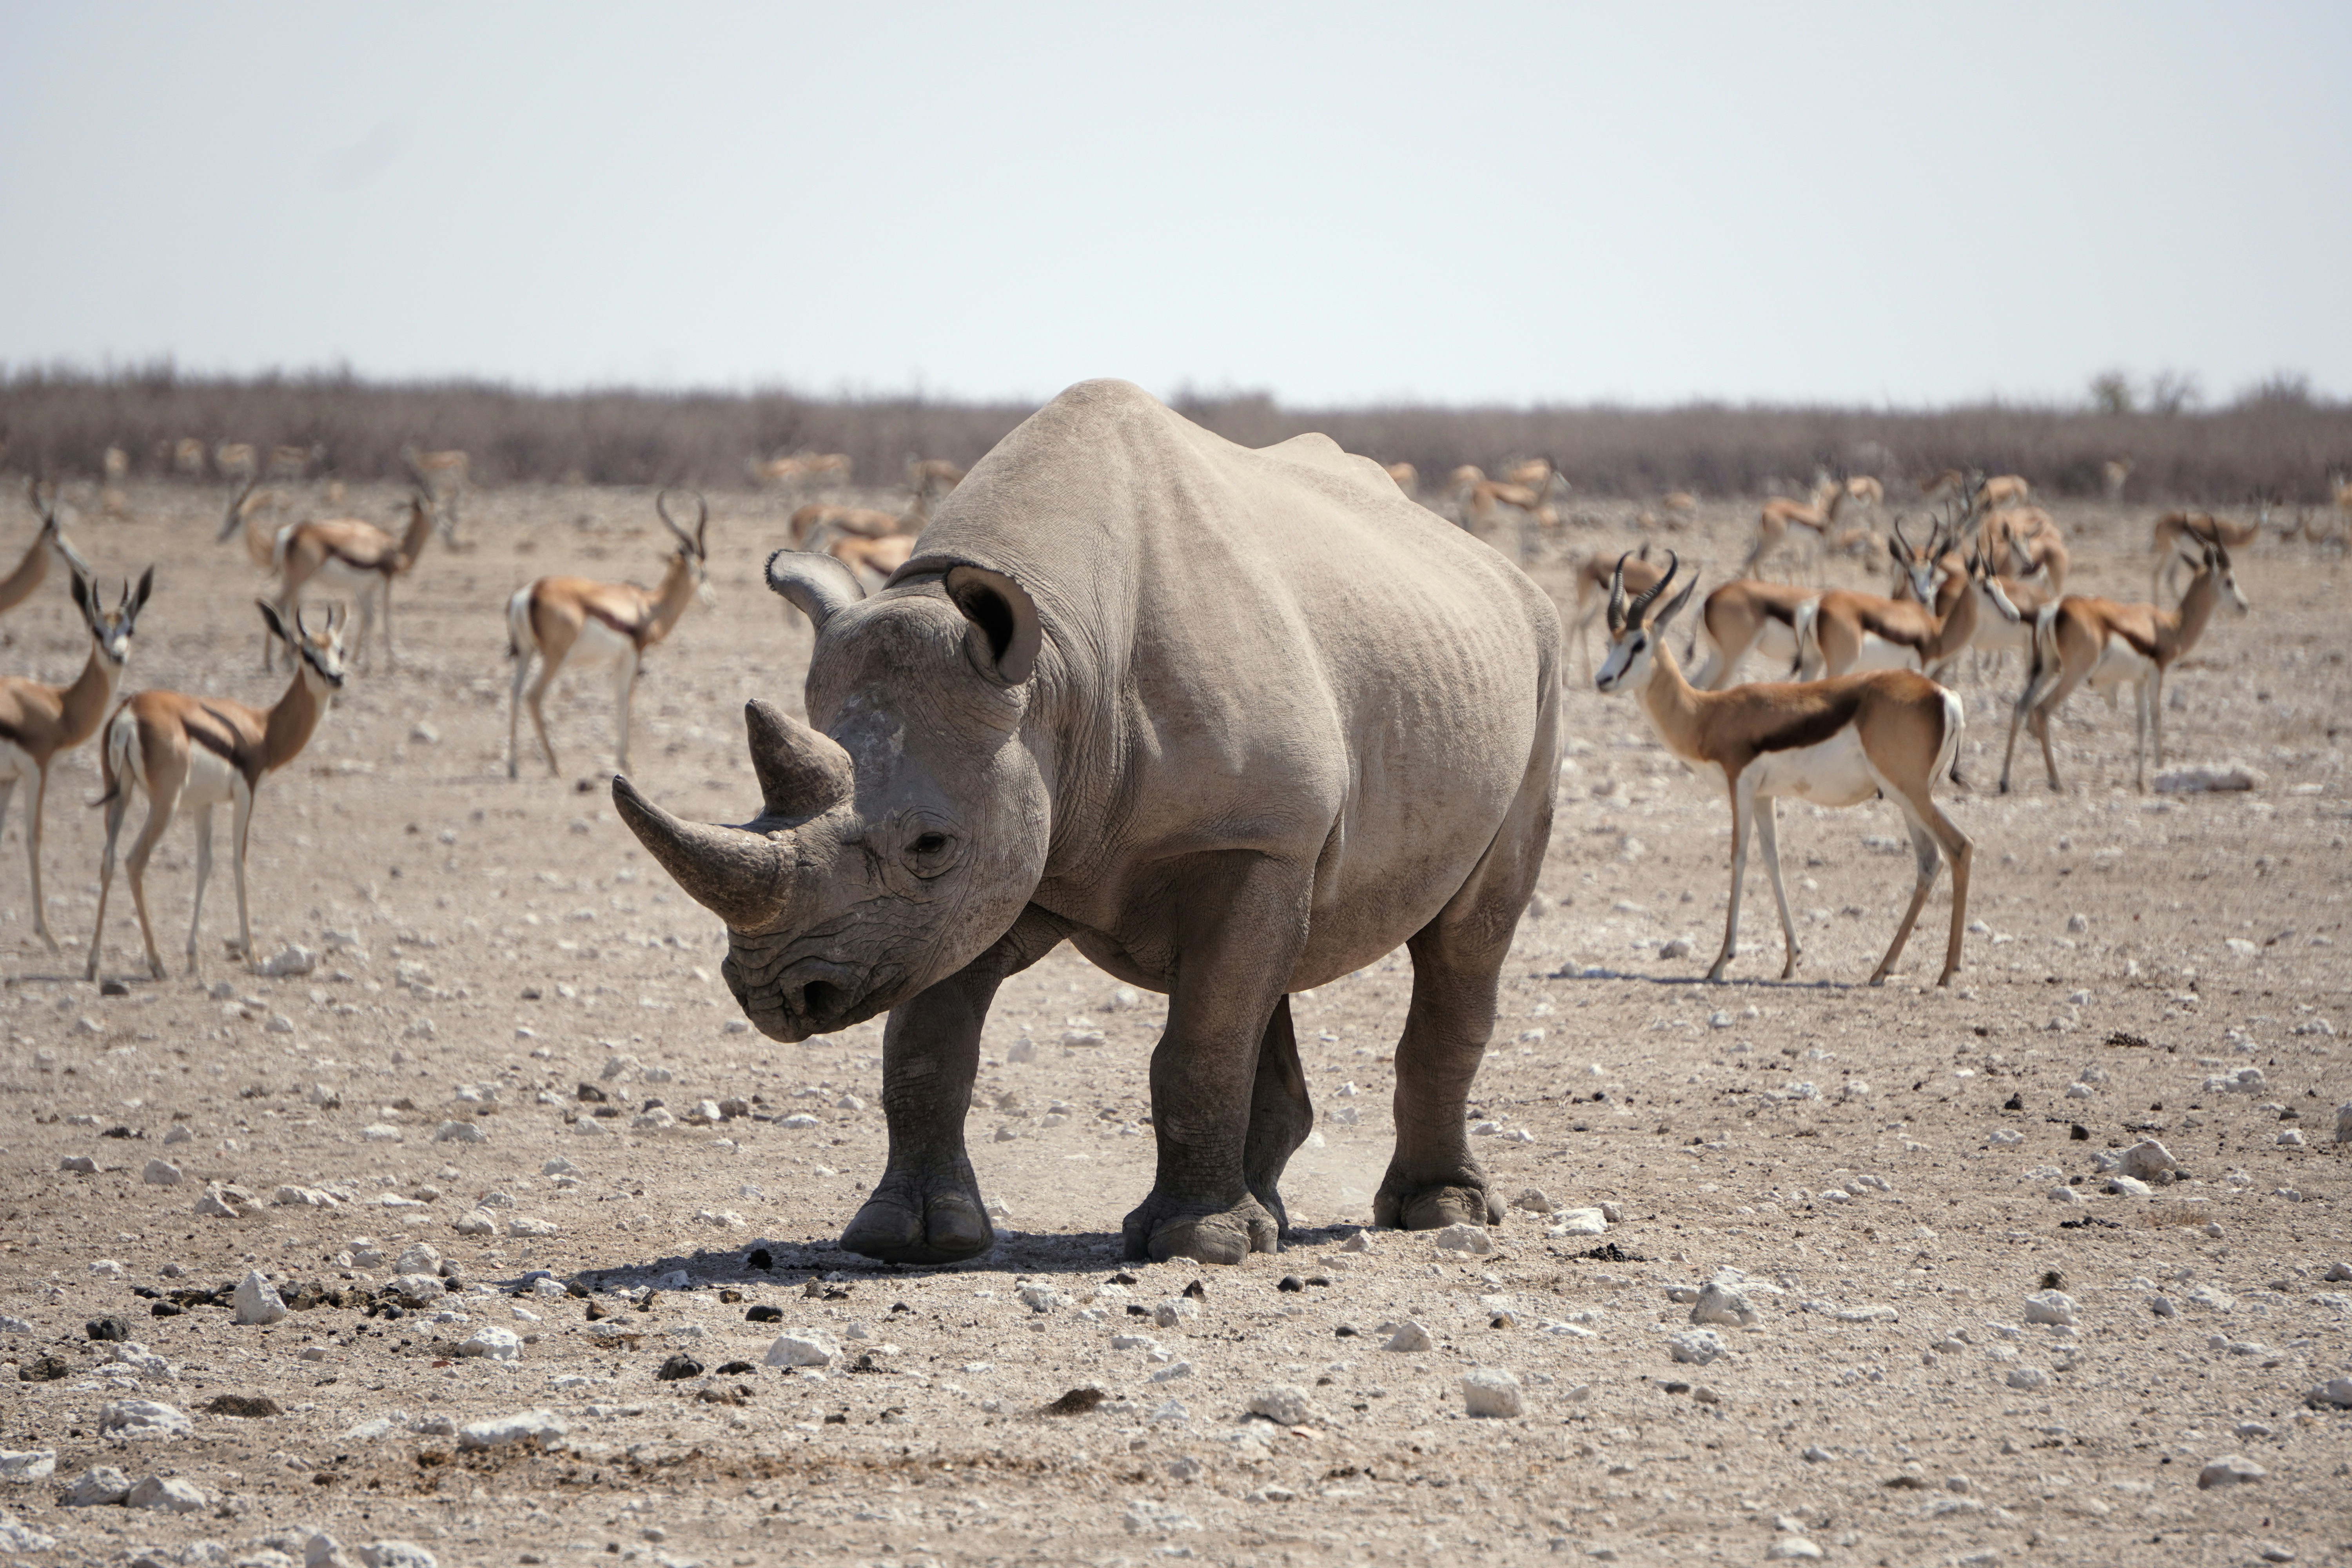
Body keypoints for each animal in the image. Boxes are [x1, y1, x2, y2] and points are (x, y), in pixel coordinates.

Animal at [614, 380, 1560, 1266]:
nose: (773, 991)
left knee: (1464, 939)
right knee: (1274, 964)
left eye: (929, 844)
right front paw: (909, 1238)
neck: (1059, 667)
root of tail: (1493, 566)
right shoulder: (983, 873)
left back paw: (1435, 1213)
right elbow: (926, 1041)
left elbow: (1200, 1041)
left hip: (1537, 663)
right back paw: (1269, 1218)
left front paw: (1196, 1244)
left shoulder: (1233, 834)